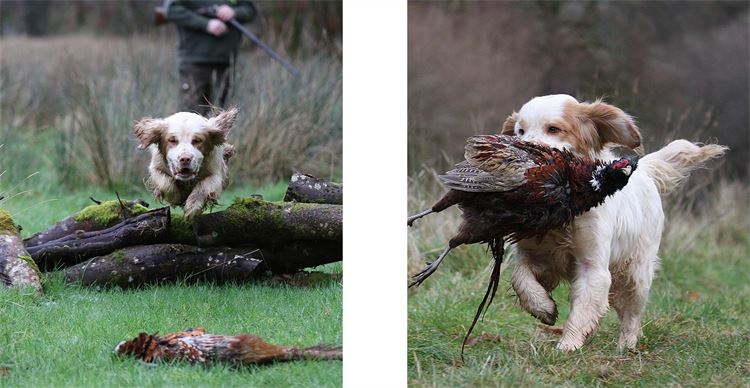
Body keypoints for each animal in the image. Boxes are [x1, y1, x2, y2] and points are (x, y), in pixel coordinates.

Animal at [502, 94, 724, 352]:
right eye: (520, 131)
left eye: (554, 129)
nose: (522, 150)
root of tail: (644, 172)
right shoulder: (533, 254)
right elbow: (521, 278)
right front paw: (543, 308)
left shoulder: (593, 266)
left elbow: (582, 309)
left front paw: (567, 346)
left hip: (636, 274)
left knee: (631, 315)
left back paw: (626, 346)